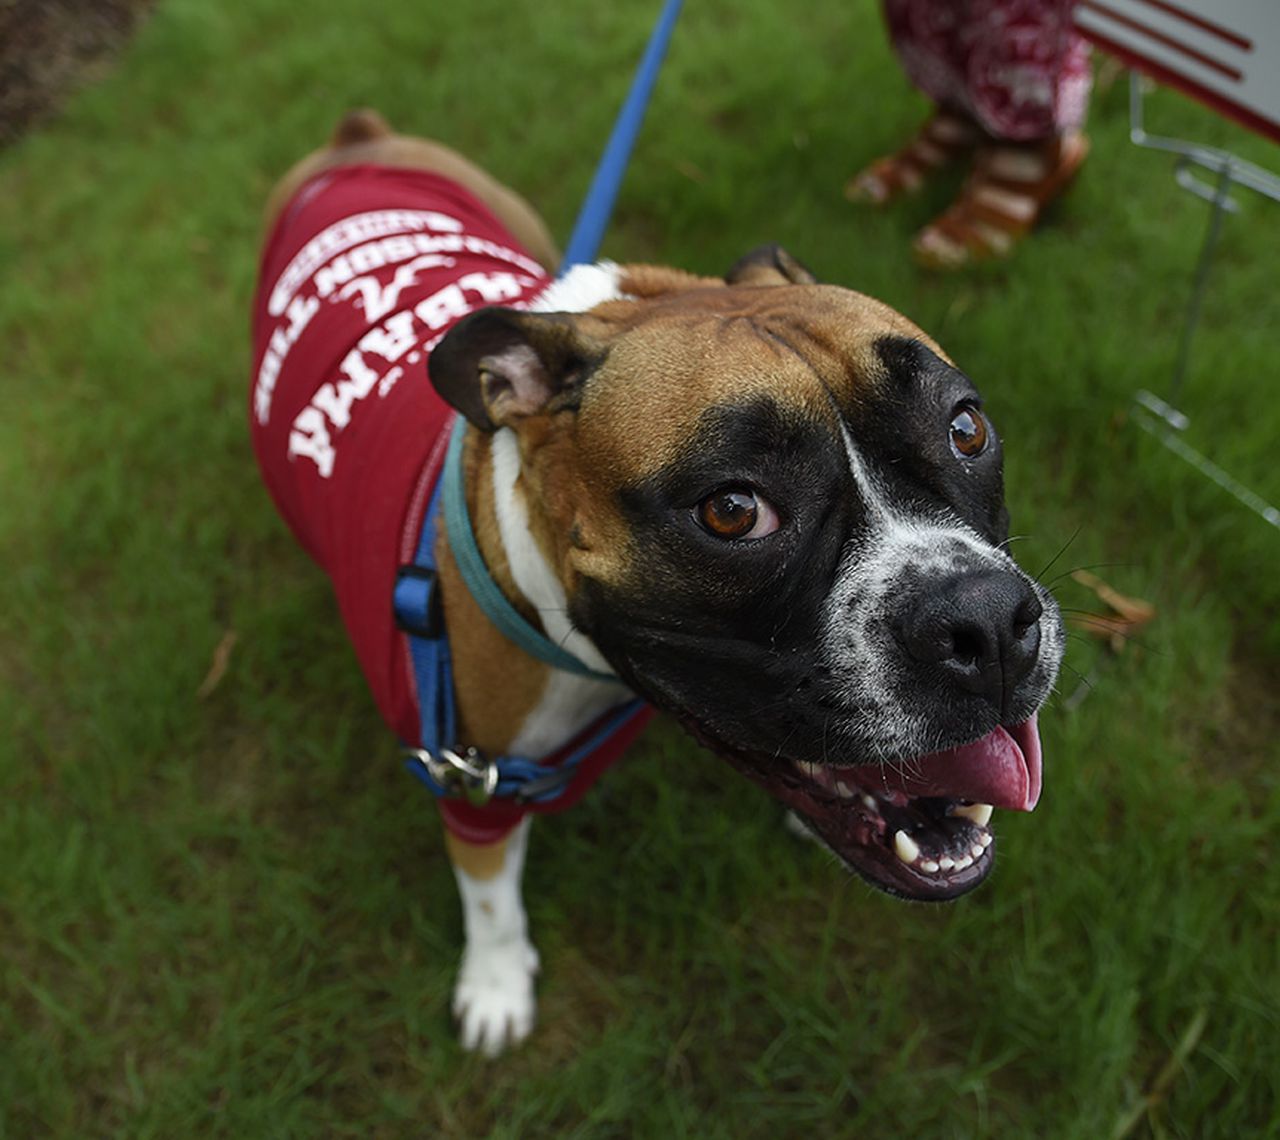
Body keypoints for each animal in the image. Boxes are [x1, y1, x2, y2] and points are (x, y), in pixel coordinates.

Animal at [247, 111, 1059, 1054]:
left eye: (966, 428)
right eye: (732, 511)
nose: (987, 622)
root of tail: (358, 135)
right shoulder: (473, 783)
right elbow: (488, 897)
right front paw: (494, 985)